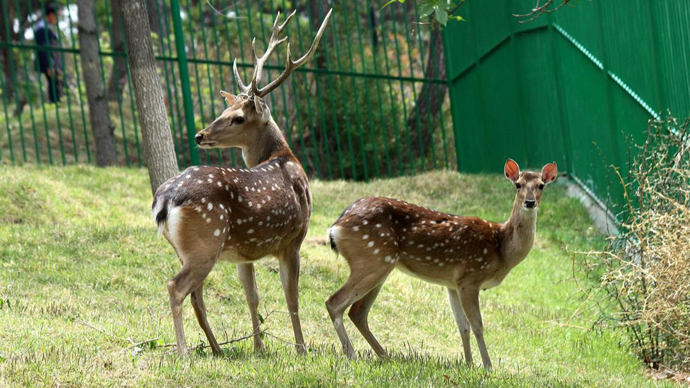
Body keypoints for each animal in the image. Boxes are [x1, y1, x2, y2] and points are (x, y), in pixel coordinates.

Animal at [151, 8, 334, 354]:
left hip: (190, 248)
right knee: (175, 287)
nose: (200, 135)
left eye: (237, 117)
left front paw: (259, 348)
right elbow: (292, 298)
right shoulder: (294, 239)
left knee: (196, 296)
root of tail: (164, 201)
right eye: (227, 111)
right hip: (207, 240)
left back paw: (217, 349)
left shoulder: (243, 251)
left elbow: (252, 297)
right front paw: (301, 349)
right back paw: (183, 353)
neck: (285, 157)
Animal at [326, 159, 556, 368]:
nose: (529, 202)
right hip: (373, 259)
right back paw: (352, 355)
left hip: (379, 266)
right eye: (517, 184)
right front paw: (488, 367)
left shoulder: (452, 284)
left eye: (541, 185)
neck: (501, 248)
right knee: (334, 302)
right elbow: (477, 325)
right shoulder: (470, 278)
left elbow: (462, 326)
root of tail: (335, 226)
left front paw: (468, 364)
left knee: (357, 312)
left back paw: (385, 356)